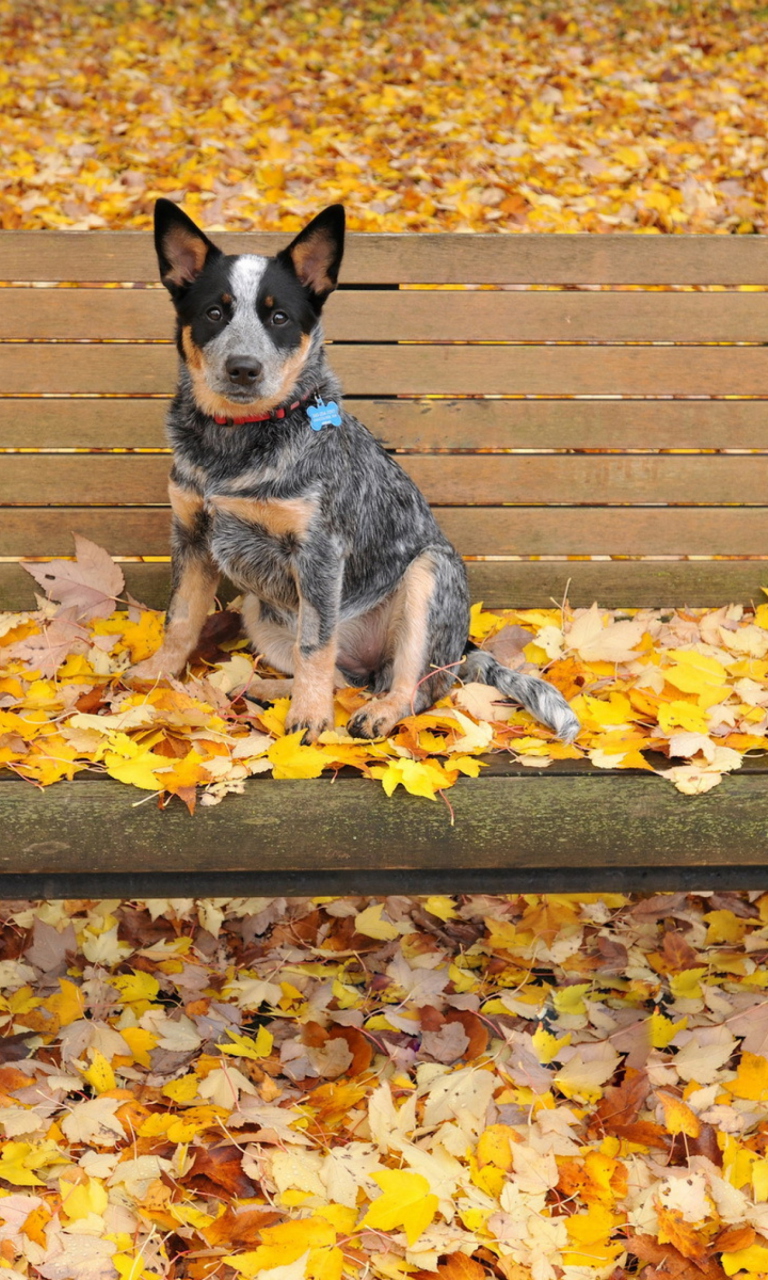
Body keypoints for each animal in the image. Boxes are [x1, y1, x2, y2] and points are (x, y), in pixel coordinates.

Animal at [129, 194, 578, 747]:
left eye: (279, 317)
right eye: (215, 312)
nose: (243, 368)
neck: (235, 444)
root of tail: (461, 650)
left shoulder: (320, 552)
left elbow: (314, 646)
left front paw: (309, 720)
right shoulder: (191, 535)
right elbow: (181, 619)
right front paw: (156, 676)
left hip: (429, 576)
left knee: (414, 688)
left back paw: (377, 712)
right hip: (259, 608)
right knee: (344, 679)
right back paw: (268, 690)